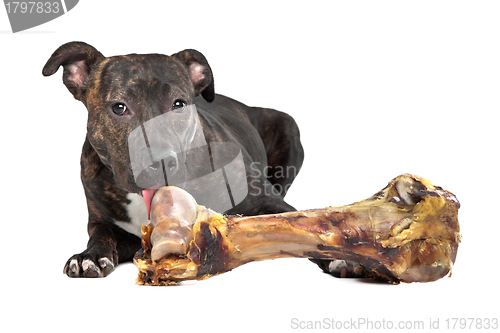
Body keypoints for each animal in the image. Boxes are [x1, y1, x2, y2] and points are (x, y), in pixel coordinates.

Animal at [42, 41, 304, 276]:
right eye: (119, 107)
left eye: (179, 104)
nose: (160, 162)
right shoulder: (104, 223)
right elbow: (100, 233)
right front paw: (91, 255)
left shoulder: (268, 203)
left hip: (288, 128)